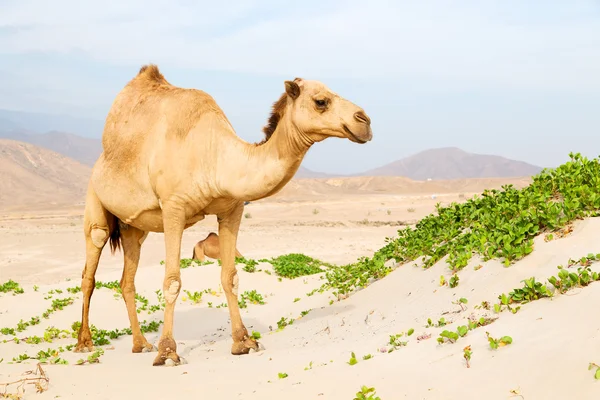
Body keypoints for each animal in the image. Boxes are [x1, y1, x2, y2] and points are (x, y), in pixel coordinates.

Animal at [74, 63, 370, 366]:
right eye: (321, 101)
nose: (365, 121)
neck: (215, 158)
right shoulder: (173, 207)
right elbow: (172, 281)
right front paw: (167, 352)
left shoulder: (232, 209)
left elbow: (231, 277)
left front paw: (243, 342)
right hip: (95, 200)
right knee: (90, 268)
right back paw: (85, 343)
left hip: (133, 226)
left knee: (127, 280)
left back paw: (140, 343)